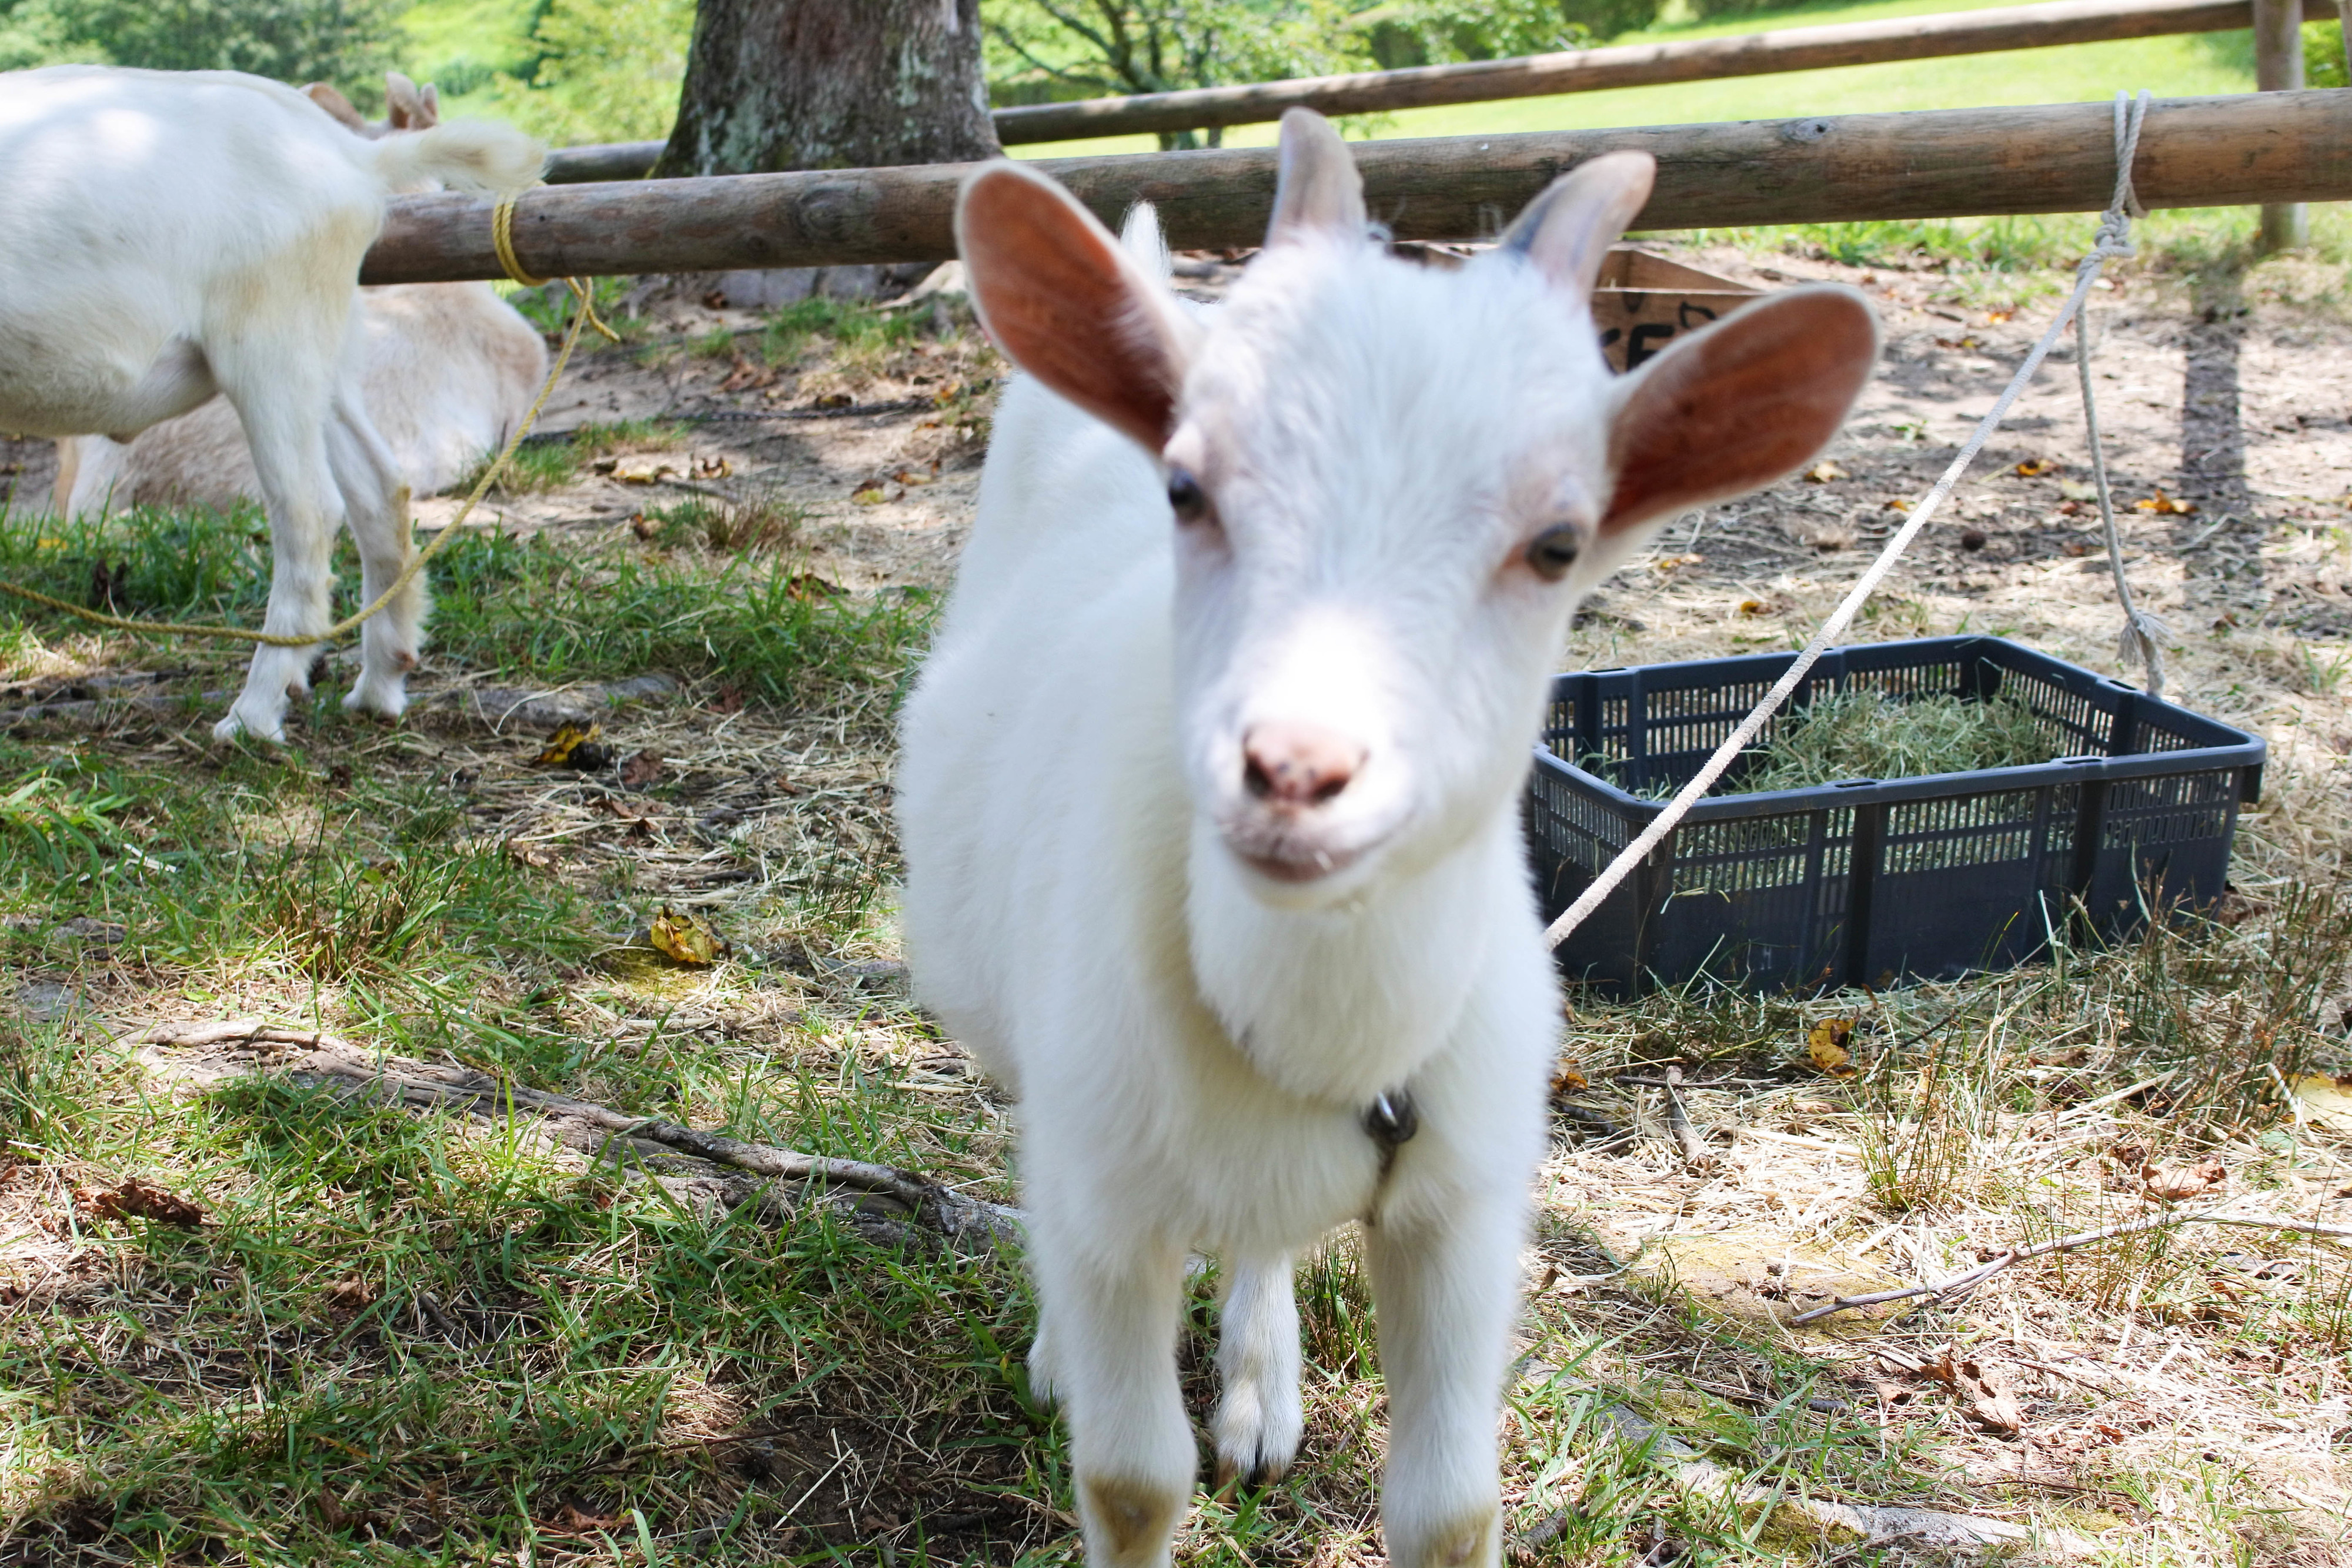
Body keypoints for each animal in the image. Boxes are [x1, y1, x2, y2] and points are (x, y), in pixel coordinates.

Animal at [894, 113, 1872, 1568]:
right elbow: (1128, 1479)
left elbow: (1451, 1505)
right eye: (1185, 486)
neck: (1318, 1038)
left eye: (1557, 542)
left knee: (1257, 1232)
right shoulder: (1104, 1181)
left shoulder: (1461, 1204)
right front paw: (1096, 1390)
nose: (1294, 770)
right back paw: (1068, 1353)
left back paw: (1260, 1390)